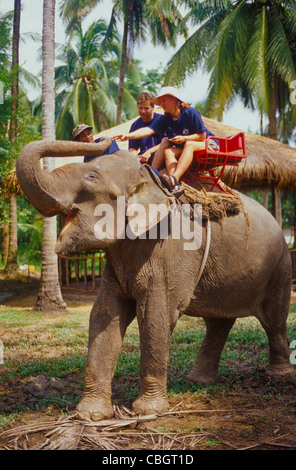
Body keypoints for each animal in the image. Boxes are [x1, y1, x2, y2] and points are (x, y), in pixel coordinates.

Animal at [16, 140, 294, 422]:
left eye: (91, 177)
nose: (99, 140)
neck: (148, 180)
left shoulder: (170, 247)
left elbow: (155, 314)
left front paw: (148, 411)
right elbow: (104, 314)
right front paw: (90, 415)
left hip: (280, 266)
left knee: (273, 319)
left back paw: (278, 374)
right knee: (219, 322)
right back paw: (198, 381)